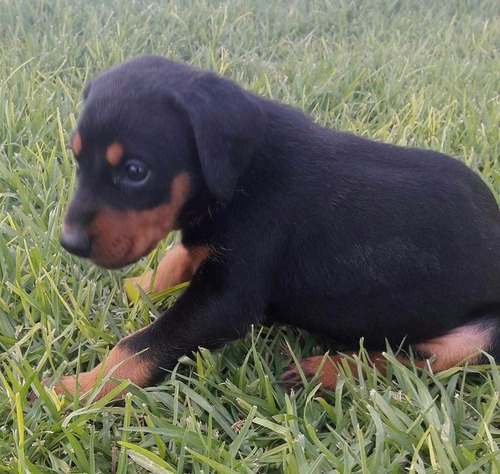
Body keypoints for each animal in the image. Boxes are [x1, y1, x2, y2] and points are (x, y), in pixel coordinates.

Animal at [56, 53, 498, 398]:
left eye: (135, 172)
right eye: (76, 158)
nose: (69, 242)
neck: (240, 173)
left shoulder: (226, 300)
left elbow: (137, 347)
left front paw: (79, 389)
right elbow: (180, 253)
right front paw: (142, 286)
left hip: (481, 336)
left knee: (424, 359)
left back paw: (324, 371)